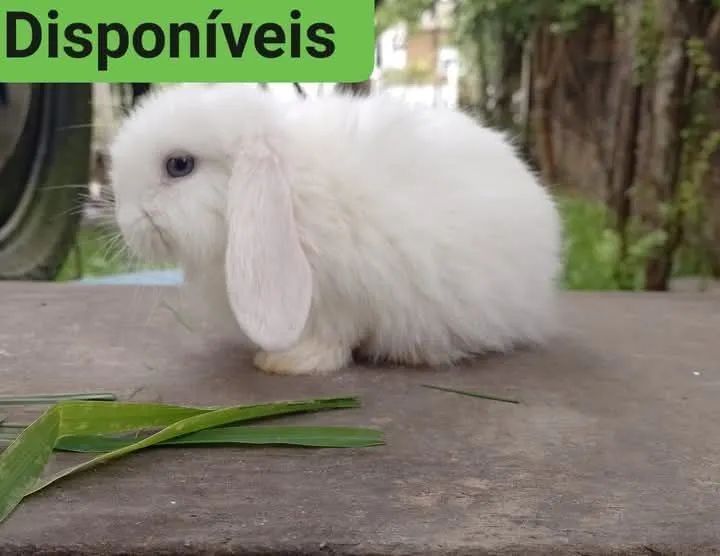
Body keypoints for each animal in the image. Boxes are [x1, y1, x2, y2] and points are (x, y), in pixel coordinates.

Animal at [109, 83, 562, 375]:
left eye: (178, 165)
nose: (127, 224)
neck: (292, 188)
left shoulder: (341, 297)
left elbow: (332, 337)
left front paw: (285, 362)